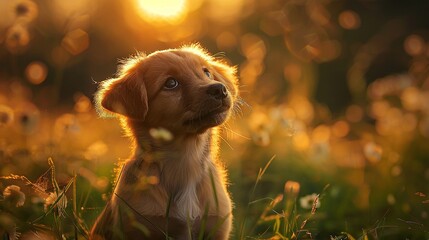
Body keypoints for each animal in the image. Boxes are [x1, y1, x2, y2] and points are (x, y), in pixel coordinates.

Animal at [90, 44, 237, 239]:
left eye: (206, 73)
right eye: (171, 83)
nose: (220, 89)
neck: (186, 160)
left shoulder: (217, 225)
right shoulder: (139, 226)